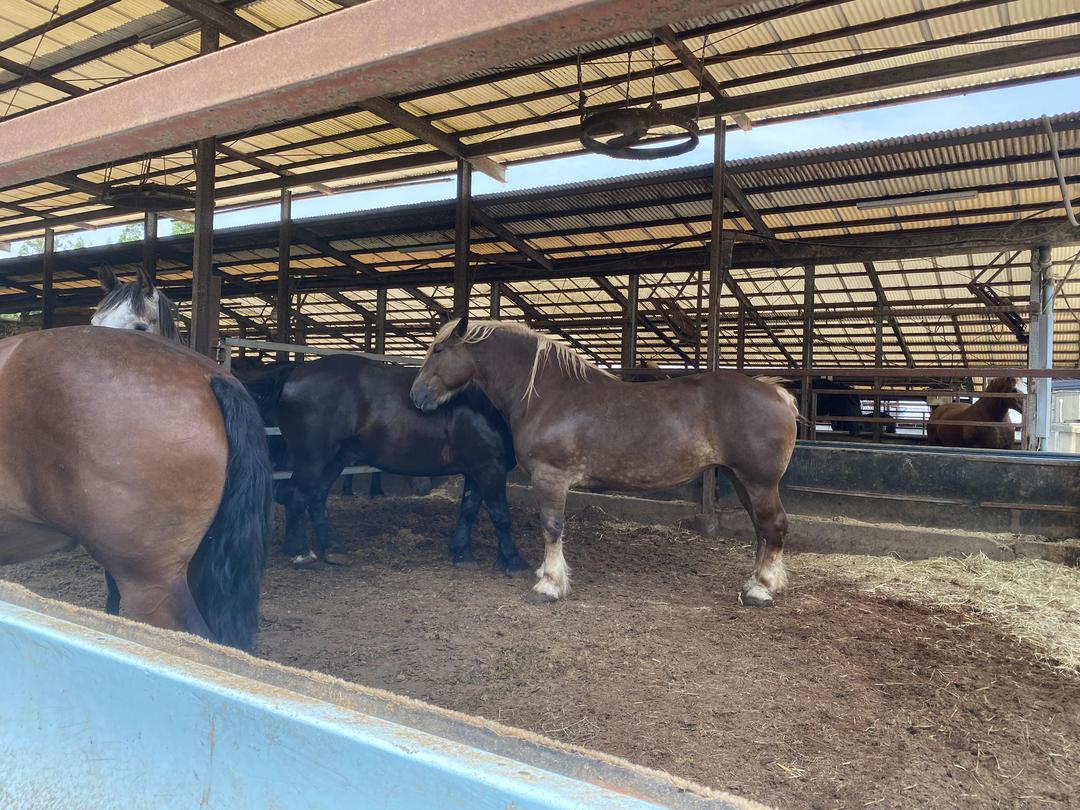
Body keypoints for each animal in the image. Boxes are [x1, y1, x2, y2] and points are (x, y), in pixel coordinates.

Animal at [275, 353, 529, 574]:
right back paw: (301, 553)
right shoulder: (490, 468)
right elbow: (500, 515)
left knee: (317, 498)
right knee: (297, 496)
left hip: (335, 460)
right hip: (313, 459)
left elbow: (469, 510)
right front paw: (514, 561)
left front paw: (462, 553)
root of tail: (297, 372)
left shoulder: (477, 469)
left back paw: (333, 549)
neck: (485, 403)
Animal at [410, 318, 798, 608]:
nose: (416, 396)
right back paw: (754, 582)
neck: (549, 395)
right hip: (739, 479)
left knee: (774, 525)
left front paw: (550, 584)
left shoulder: (550, 478)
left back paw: (762, 589)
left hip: (758, 481)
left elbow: (551, 527)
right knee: (761, 529)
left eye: (438, 349)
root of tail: (775, 393)